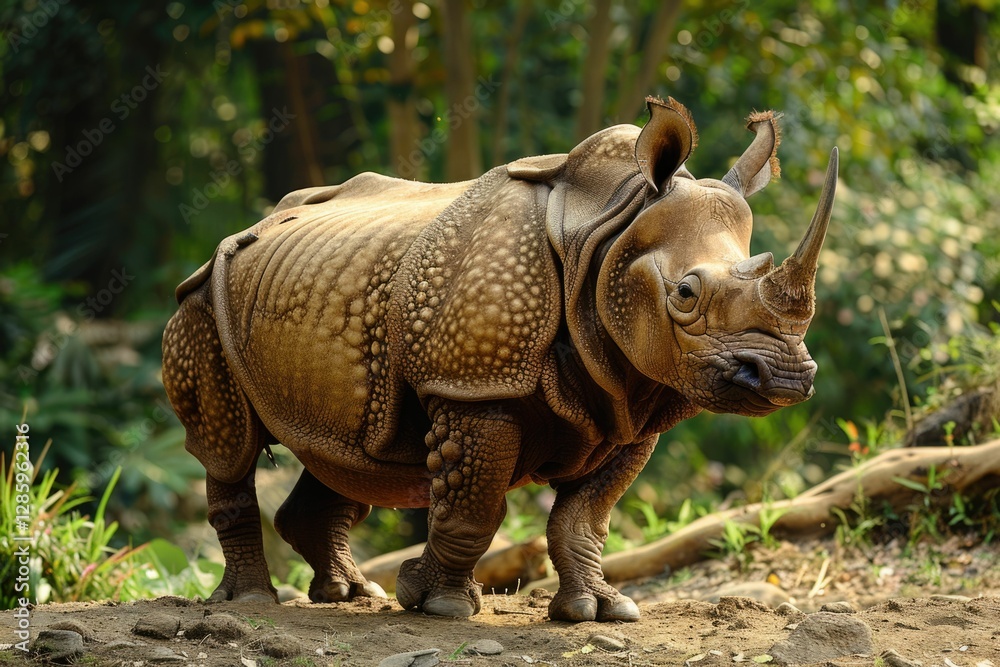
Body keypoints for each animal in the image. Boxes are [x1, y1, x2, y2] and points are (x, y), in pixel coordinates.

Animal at [162, 96, 837, 622]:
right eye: (686, 295)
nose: (784, 378)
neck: (607, 226)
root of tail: (253, 224)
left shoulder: (632, 399)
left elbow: (584, 518)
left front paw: (598, 611)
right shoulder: (473, 385)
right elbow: (476, 505)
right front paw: (435, 604)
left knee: (344, 455)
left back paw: (351, 596)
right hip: (202, 303)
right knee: (229, 448)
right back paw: (254, 602)